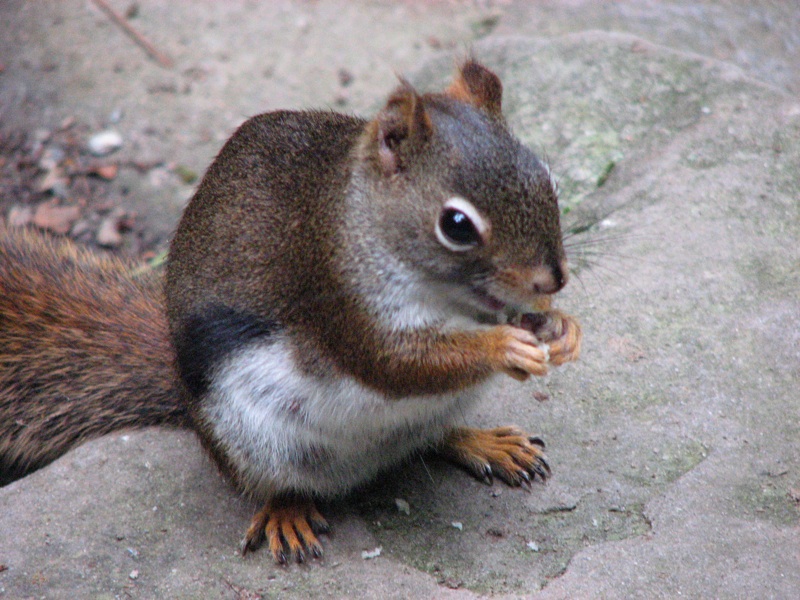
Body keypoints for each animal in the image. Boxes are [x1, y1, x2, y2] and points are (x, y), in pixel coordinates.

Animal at [0, 61, 580, 564]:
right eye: (456, 225)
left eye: (549, 178)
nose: (553, 279)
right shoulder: (336, 295)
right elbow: (396, 363)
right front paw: (505, 346)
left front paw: (561, 327)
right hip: (252, 439)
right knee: (277, 484)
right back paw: (288, 512)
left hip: (433, 413)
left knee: (430, 435)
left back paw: (485, 442)